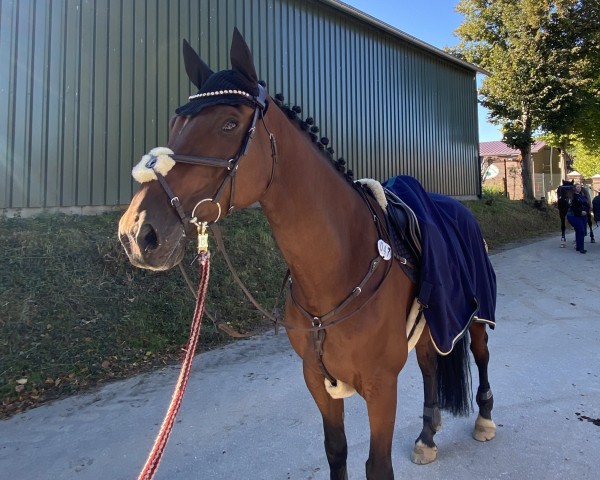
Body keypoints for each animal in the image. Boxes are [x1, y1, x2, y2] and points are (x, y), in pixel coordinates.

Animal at [117, 31, 496, 480]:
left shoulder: (381, 387)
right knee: (429, 365)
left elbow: (377, 465)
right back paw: (427, 436)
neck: (339, 269)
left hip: (476, 315)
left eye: (228, 124)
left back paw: (485, 419)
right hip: (432, 325)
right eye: (175, 125)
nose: (137, 233)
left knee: (481, 354)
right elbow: (336, 451)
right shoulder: (317, 382)